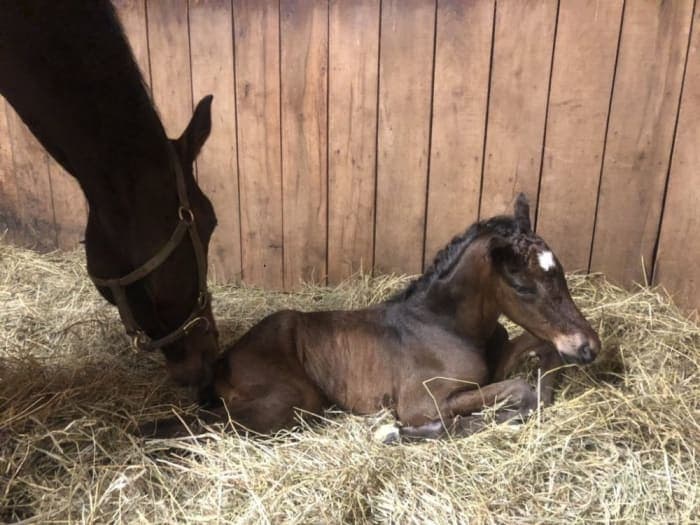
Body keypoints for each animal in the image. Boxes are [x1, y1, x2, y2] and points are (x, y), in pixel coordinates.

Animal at [147, 194, 601, 439]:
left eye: (560, 272)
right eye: (523, 286)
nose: (589, 347)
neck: (444, 326)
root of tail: (224, 359)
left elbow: (529, 359)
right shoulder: (422, 401)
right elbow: (518, 391)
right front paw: (402, 432)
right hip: (290, 401)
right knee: (203, 426)